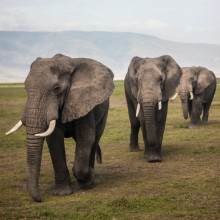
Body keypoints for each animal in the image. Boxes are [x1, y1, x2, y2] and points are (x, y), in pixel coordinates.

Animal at [5, 52, 114, 201]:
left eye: (56, 88)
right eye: (25, 88)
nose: (40, 199)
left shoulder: (84, 101)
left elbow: (86, 138)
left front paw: (88, 179)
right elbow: (54, 141)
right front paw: (62, 193)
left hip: (105, 110)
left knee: (94, 139)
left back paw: (89, 180)